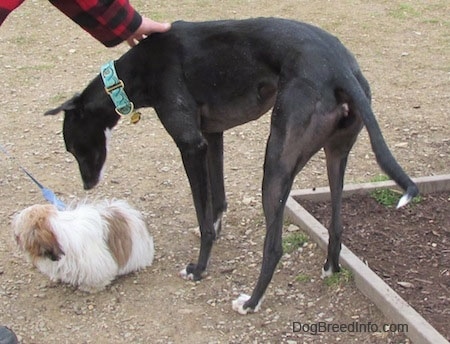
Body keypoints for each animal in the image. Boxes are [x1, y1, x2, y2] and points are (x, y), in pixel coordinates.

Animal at [45, 18, 418, 314]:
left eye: (72, 146)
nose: (87, 185)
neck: (135, 72)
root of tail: (340, 67)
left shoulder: (191, 146)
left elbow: (203, 213)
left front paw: (199, 267)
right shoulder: (212, 136)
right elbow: (218, 198)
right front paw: (215, 225)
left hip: (277, 163)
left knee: (274, 246)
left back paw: (251, 302)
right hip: (335, 152)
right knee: (337, 223)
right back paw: (330, 267)